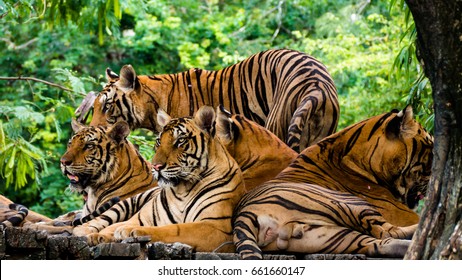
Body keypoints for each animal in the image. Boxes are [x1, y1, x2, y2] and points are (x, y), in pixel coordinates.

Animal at [74, 105, 247, 252]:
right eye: (158, 141)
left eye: (180, 141)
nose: (156, 166)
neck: (183, 188)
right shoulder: (139, 218)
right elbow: (115, 226)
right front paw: (108, 234)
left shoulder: (215, 227)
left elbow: (174, 229)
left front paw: (131, 231)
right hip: (125, 204)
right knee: (99, 221)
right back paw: (88, 233)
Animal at [233, 106, 434, 260]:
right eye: (430, 147)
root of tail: (243, 213)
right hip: (349, 204)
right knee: (388, 232)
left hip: (332, 236)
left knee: (379, 243)